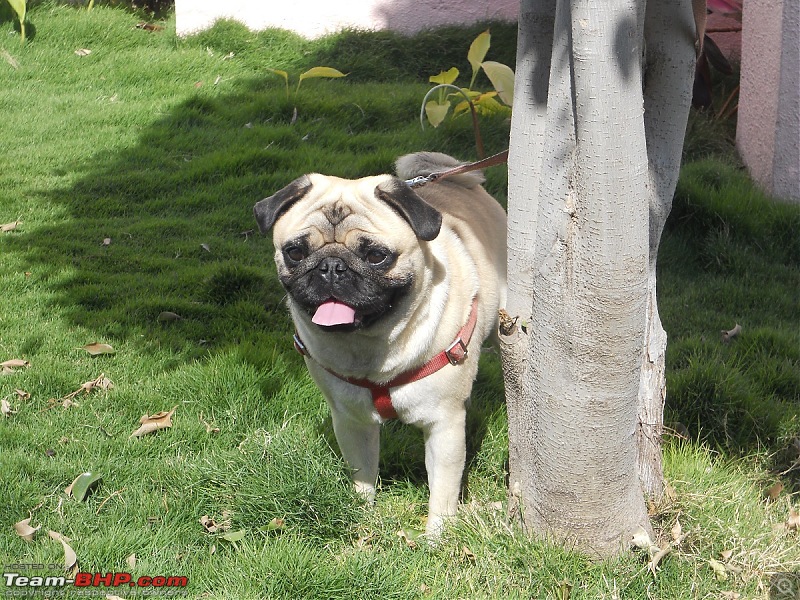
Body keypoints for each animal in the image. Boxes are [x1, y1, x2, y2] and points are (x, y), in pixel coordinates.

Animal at [253, 152, 510, 536]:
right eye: (295, 252)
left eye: (376, 256)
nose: (331, 266)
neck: (369, 346)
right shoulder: (351, 421)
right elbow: (362, 475)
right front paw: (361, 516)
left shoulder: (444, 426)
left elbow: (443, 491)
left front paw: (436, 537)